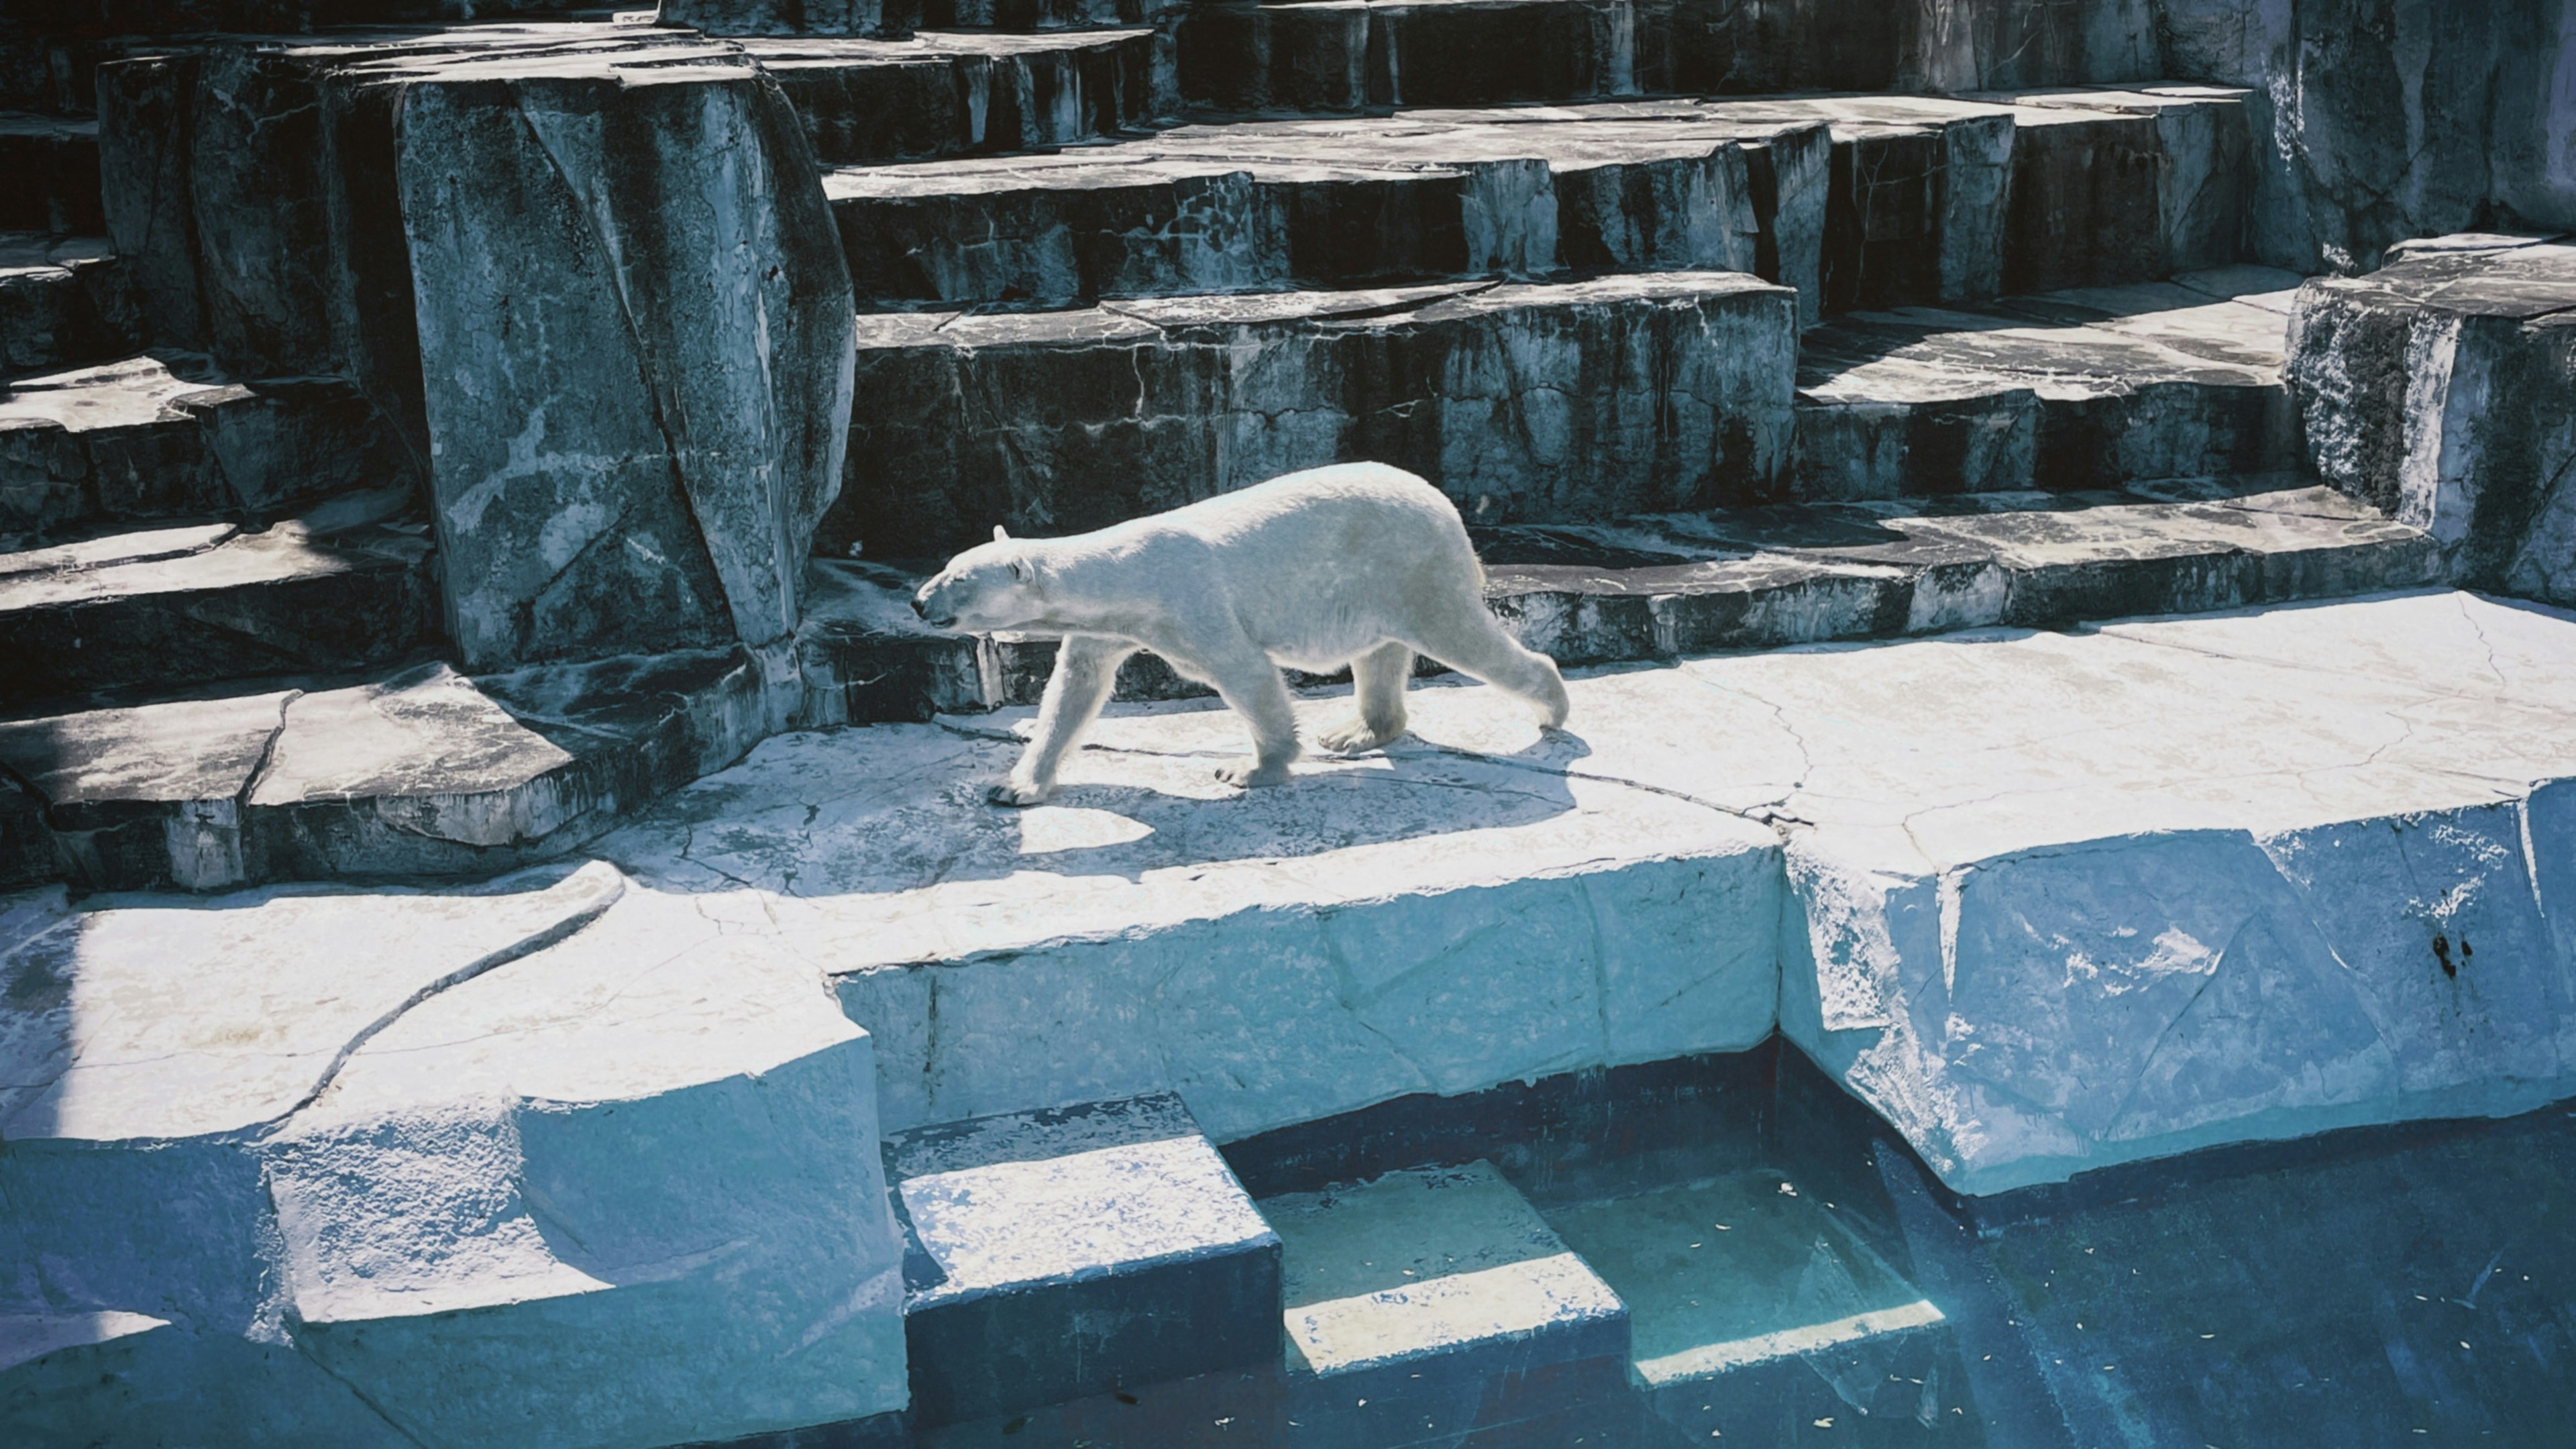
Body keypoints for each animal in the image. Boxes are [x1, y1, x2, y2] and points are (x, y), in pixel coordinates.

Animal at [927, 459, 1566, 799]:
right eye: (946, 567)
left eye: (957, 579)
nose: (917, 601)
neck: (1120, 575)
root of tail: (1445, 504)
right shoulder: (1103, 629)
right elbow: (1072, 692)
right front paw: (1016, 786)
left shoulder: (1187, 602)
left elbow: (1245, 672)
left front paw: (1249, 769)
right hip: (1376, 578)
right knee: (1379, 649)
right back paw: (1354, 733)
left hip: (1415, 564)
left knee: (1463, 638)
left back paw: (1552, 707)